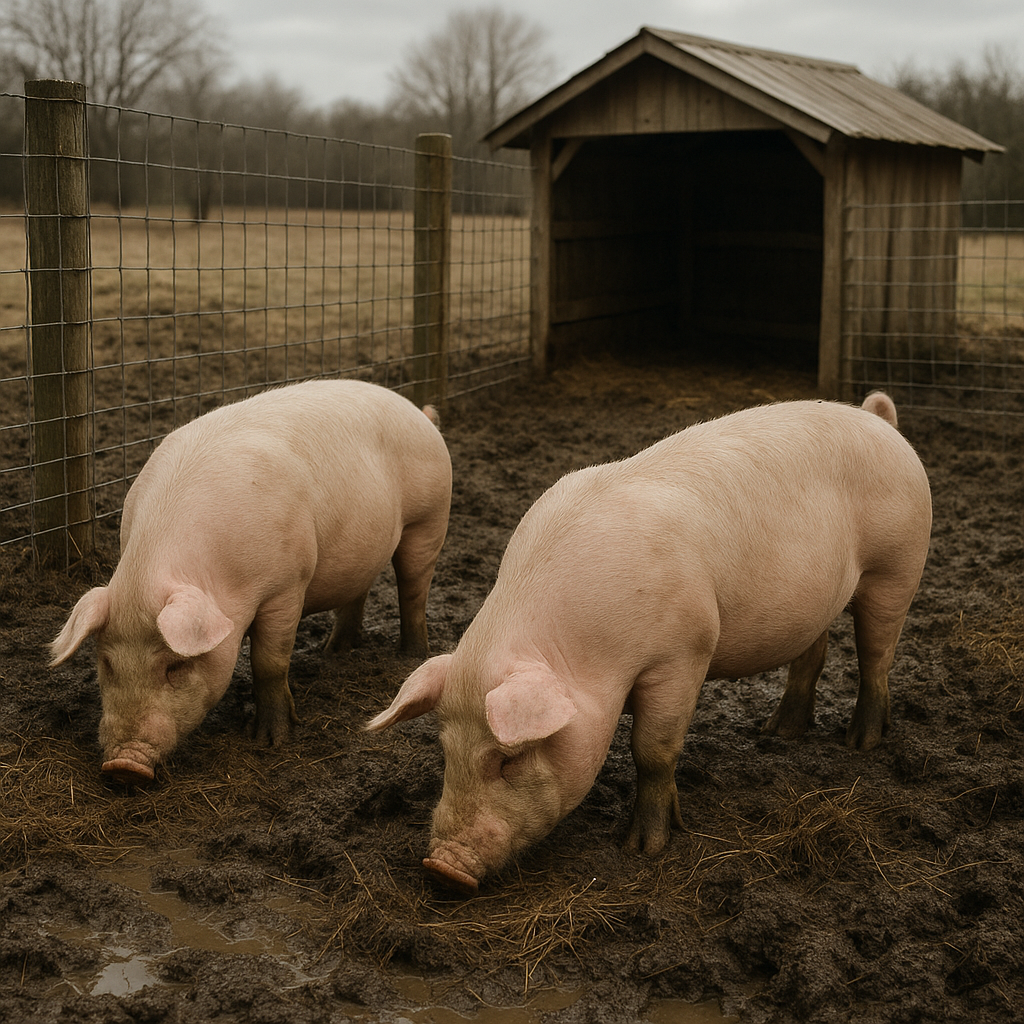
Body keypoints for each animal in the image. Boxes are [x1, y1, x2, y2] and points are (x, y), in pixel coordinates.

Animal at [50, 379, 452, 785]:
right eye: (106, 664)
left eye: (174, 666)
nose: (123, 767)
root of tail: (419, 413)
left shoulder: (287, 585)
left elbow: (268, 662)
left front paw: (272, 741)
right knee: (359, 591)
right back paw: (333, 652)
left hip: (430, 517)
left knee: (413, 588)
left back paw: (409, 655)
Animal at [365, 393, 931, 894]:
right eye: (446, 752)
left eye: (508, 760)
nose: (442, 868)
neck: (587, 654)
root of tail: (878, 420)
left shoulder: (683, 652)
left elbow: (653, 750)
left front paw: (643, 848)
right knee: (815, 652)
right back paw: (778, 731)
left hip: (898, 566)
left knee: (877, 654)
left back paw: (861, 743)